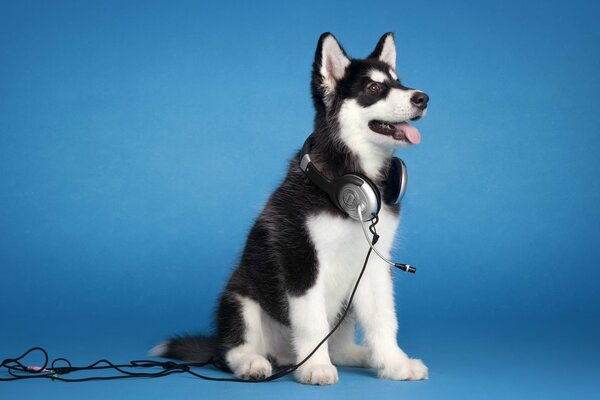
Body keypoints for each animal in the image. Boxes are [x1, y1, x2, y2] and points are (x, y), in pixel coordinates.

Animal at [152, 32, 428, 384]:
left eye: (398, 82)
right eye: (373, 88)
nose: (423, 98)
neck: (346, 178)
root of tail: (284, 355)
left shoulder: (375, 265)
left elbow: (383, 318)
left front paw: (394, 363)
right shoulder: (302, 261)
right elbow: (312, 323)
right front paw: (316, 367)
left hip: (344, 305)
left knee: (338, 343)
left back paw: (356, 355)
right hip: (240, 299)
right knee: (231, 349)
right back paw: (253, 362)